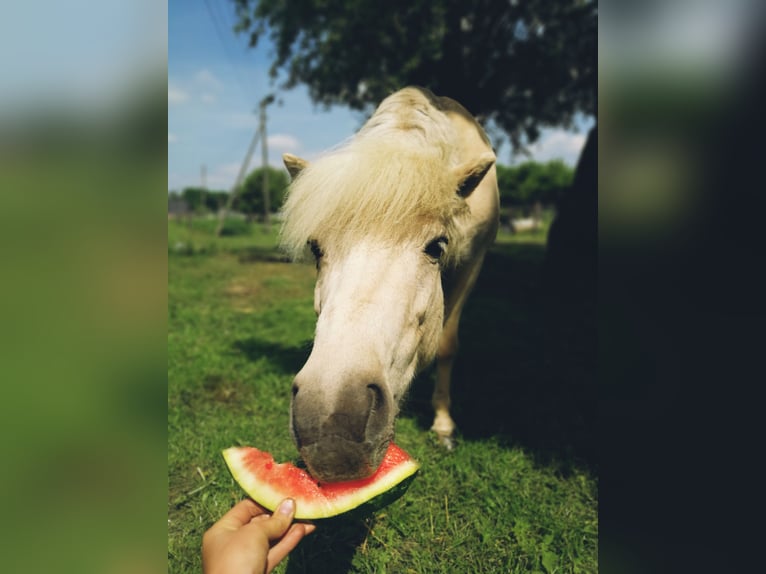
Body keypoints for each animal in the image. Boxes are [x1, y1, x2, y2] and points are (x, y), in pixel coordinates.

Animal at [280, 85, 500, 484]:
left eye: (437, 247)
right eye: (316, 249)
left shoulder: (472, 263)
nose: (331, 429)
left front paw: (443, 425)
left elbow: (447, 345)